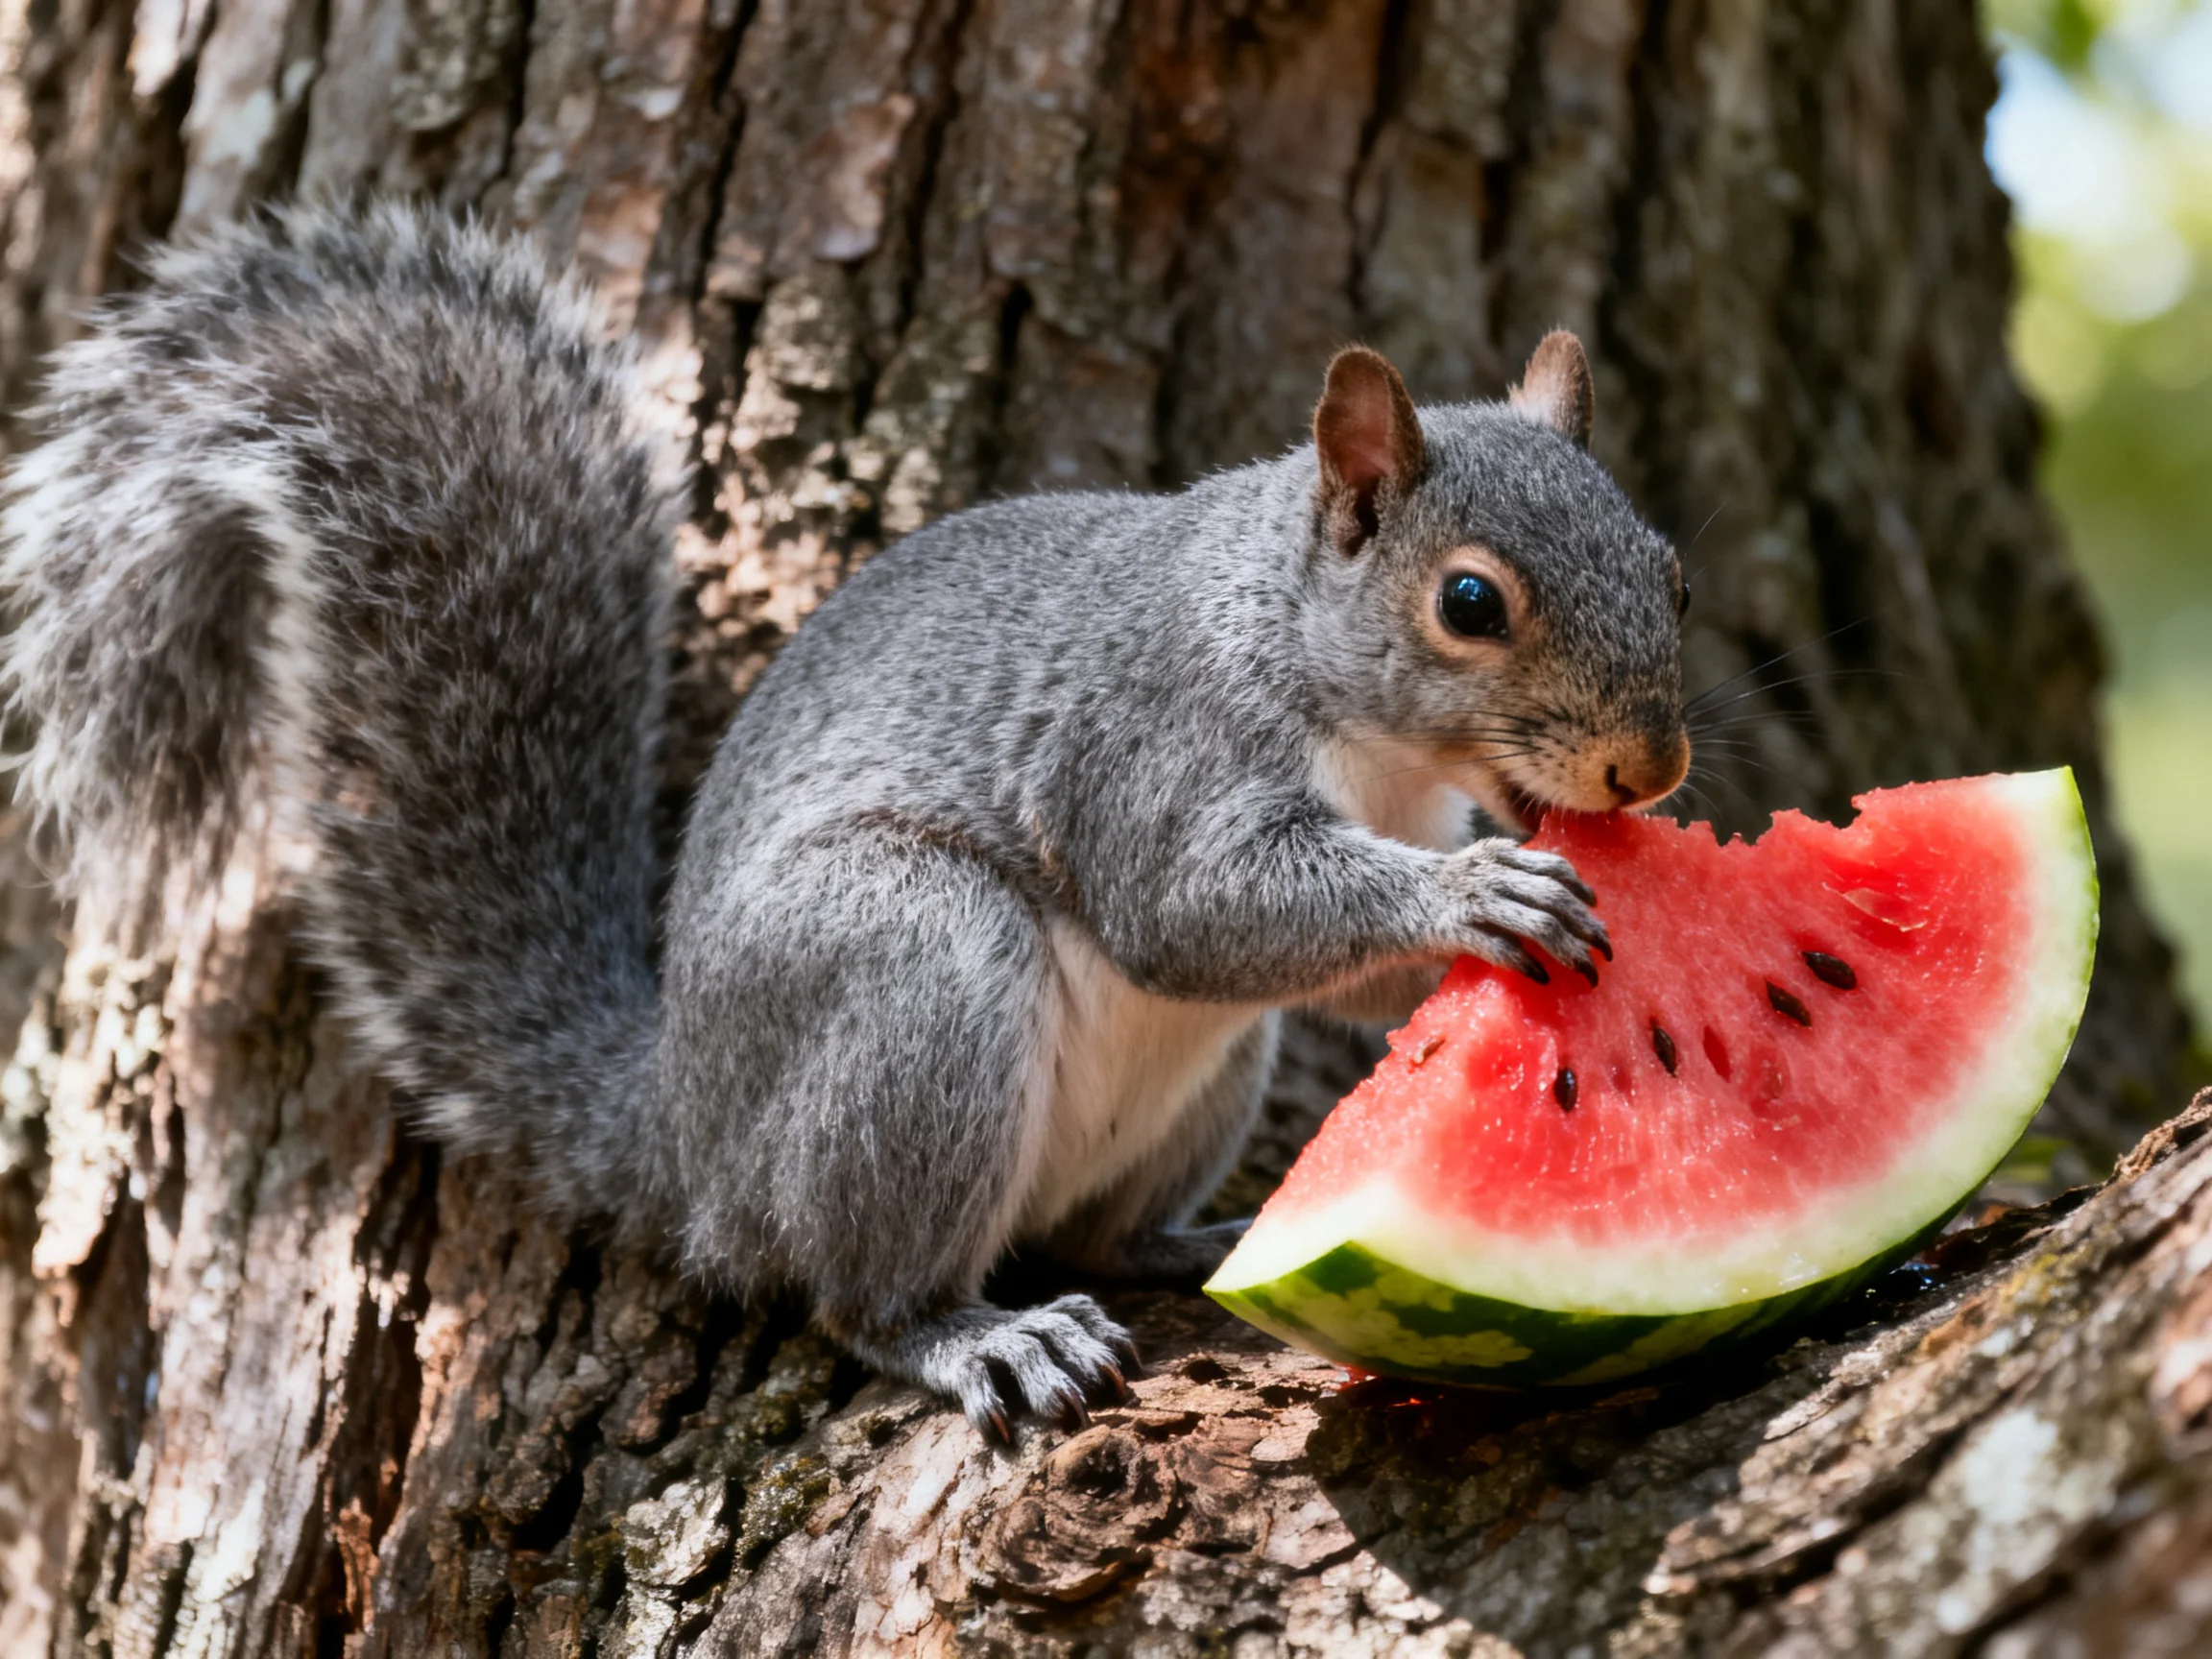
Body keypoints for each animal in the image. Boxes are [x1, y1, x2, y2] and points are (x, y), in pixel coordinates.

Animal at [1, 204, 1688, 1437]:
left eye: (1667, 563)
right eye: (1468, 602)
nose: (1651, 772)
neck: (1348, 709)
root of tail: (688, 1136)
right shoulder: (1155, 744)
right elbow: (1196, 908)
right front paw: (1470, 898)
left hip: (1187, 1078)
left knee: (1091, 1232)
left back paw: (1196, 1245)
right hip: (908, 972)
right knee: (853, 1295)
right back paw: (977, 1340)